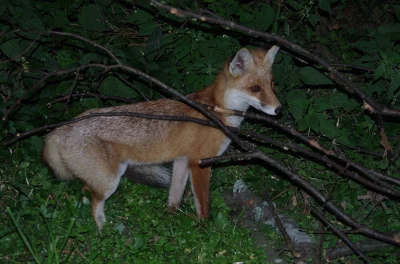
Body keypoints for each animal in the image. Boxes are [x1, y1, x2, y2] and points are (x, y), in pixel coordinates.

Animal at [42, 45, 282, 233]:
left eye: (272, 85)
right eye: (255, 88)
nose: (279, 109)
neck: (217, 112)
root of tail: (59, 130)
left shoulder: (182, 161)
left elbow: (174, 195)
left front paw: (170, 217)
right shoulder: (200, 162)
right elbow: (203, 203)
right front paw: (203, 228)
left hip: (107, 175)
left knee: (84, 192)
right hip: (109, 181)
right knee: (94, 205)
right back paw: (104, 231)